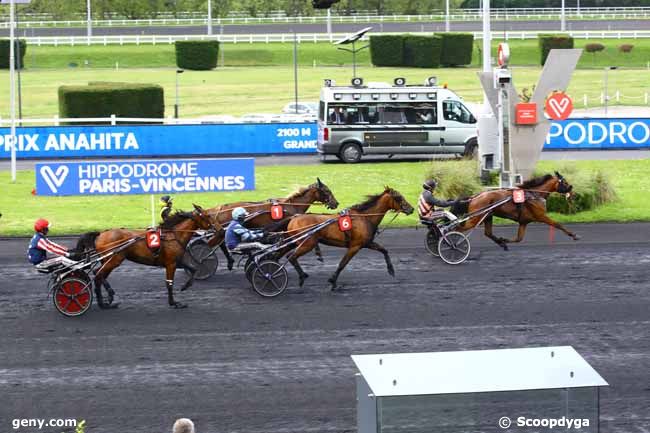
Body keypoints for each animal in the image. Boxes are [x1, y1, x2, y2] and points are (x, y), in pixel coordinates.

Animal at [76, 204, 218, 308]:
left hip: (108, 260)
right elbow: (169, 283)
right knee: (98, 275)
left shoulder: (176, 261)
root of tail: (101, 234)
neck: (173, 235)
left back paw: (108, 298)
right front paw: (174, 303)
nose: (217, 228)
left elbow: (193, 269)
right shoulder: (170, 263)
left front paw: (185, 286)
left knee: (98, 274)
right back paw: (104, 302)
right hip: (114, 260)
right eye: (207, 216)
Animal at [208, 178, 340, 266]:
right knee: (218, 243)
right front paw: (318, 254)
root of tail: (221, 207)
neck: (292, 205)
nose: (336, 203)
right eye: (327, 191)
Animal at [280, 187, 412, 288]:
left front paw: (391, 270)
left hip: (297, 242)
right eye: (399, 198)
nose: (411, 209)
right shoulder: (355, 246)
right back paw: (301, 276)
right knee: (291, 256)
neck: (365, 217)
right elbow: (342, 264)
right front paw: (333, 281)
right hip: (307, 243)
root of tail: (294, 217)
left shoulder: (367, 243)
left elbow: (384, 250)